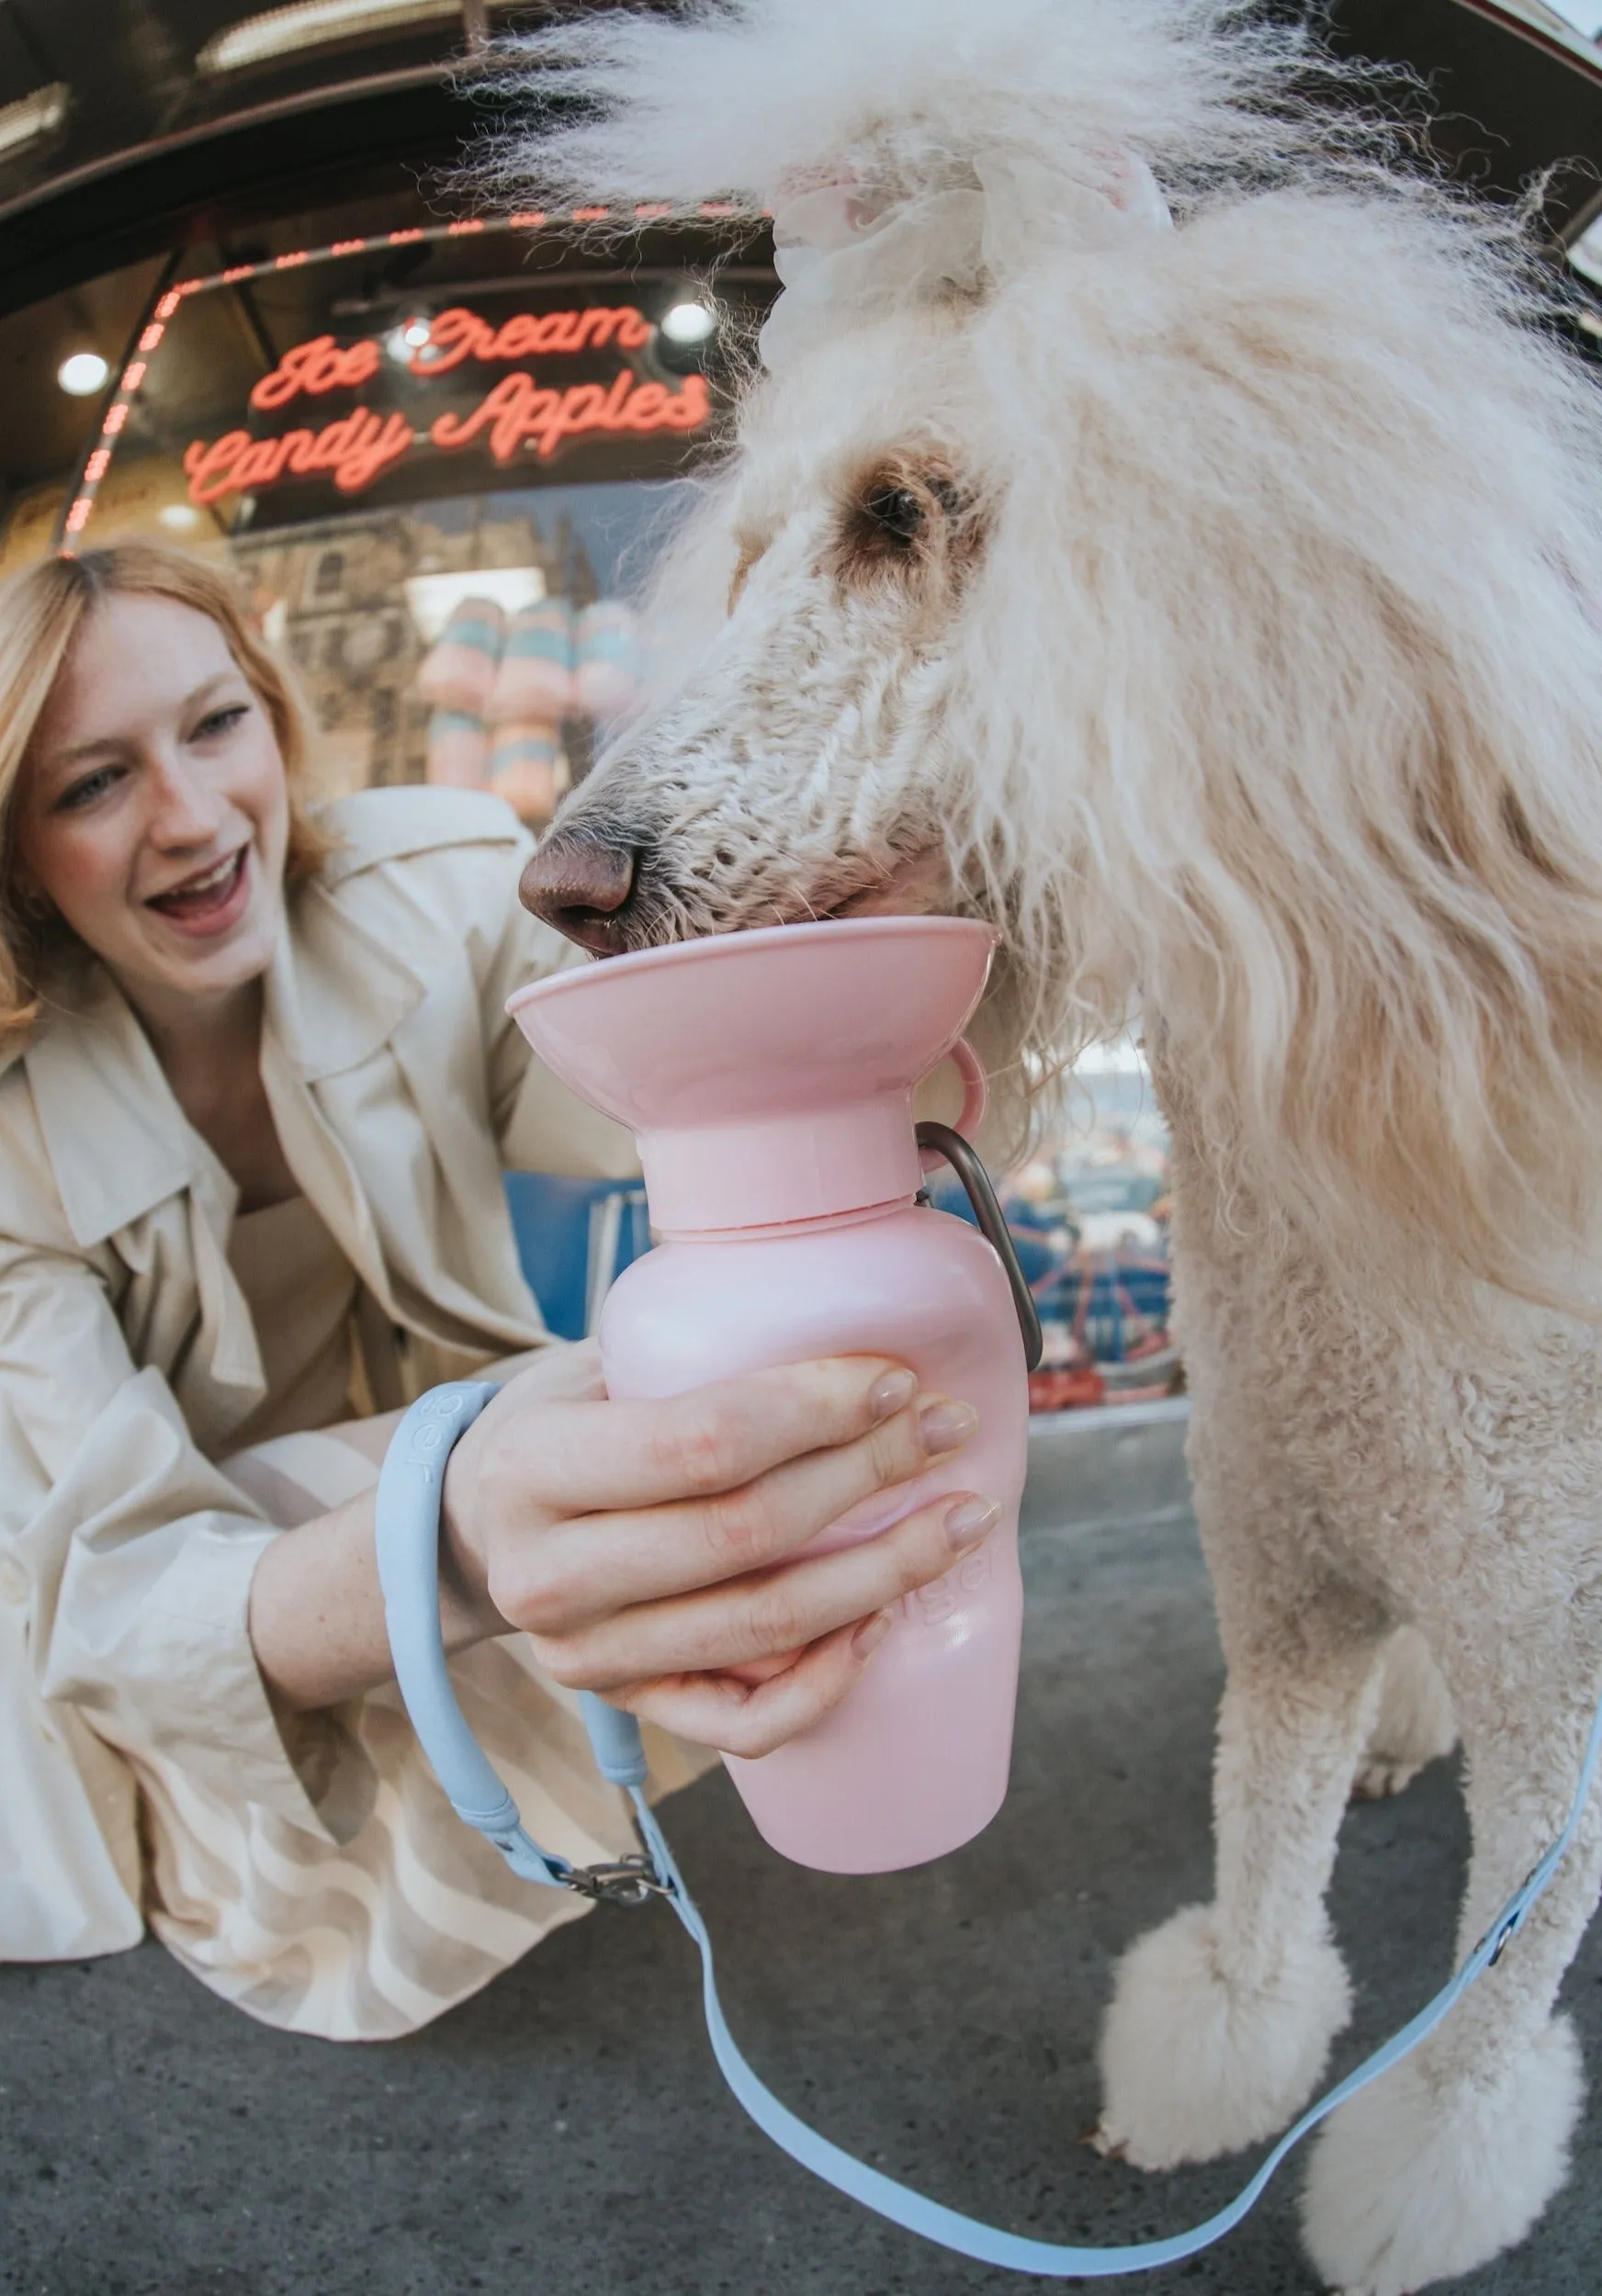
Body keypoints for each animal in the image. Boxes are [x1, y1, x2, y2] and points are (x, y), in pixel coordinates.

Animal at [495, 4, 1597, 2296]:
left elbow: (1487, 2001)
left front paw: (1423, 2176)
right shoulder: (1281, 1585)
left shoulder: (1560, 1687)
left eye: (903, 512)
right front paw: (1213, 2061)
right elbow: (1256, 1863)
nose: (559, 886)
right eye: (747, 551)